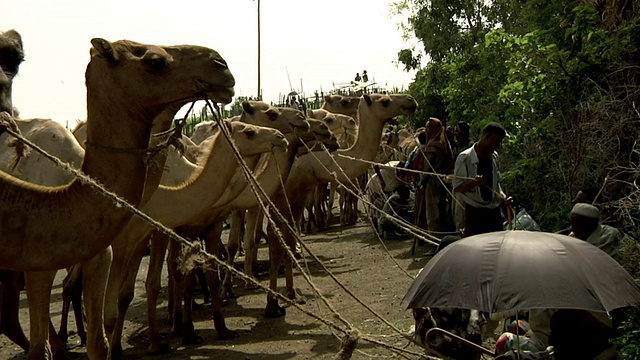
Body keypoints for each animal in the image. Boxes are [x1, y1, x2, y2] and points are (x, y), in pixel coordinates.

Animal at [0, 37, 236, 360]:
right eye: (154, 61)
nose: (221, 65)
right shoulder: (41, 260)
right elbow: (42, 344)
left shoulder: (101, 250)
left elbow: (104, 328)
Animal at [102, 100, 308, 358]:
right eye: (251, 130)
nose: (283, 136)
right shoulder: (166, 231)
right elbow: (176, 279)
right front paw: (184, 333)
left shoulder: (207, 227)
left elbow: (209, 274)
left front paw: (221, 327)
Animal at [264, 93, 418, 318]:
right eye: (384, 101)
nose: (410, 101)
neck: (318, 160)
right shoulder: (281, 196)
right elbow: (277, 244)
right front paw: (272, 305)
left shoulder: (301, 193)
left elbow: (289, 241)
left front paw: (292, 294)